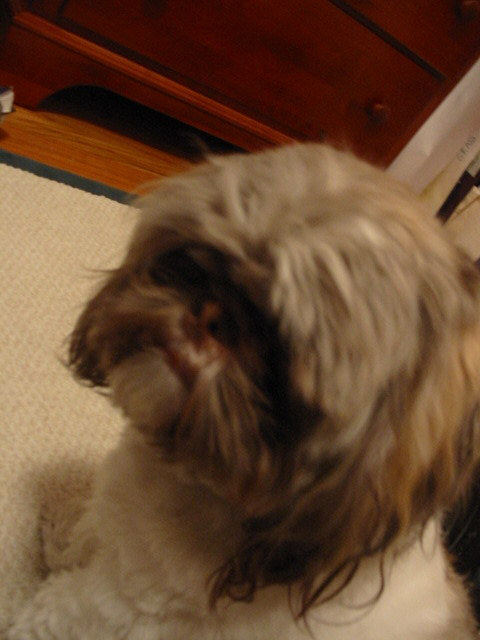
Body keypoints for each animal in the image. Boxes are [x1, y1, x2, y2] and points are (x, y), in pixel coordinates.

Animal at [9, 143, 480, 639]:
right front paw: (64, 532)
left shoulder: (113, 608)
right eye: (194, 266)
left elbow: (50, 608)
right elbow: (86, 532)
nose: (215, 317)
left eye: (279, 349)